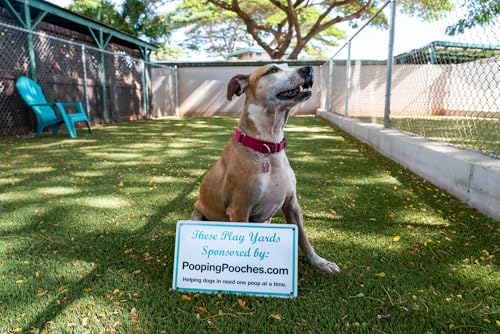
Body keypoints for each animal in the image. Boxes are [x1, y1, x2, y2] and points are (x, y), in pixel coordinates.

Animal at [191, 64, 340, 272]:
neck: (267, 147)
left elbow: (303, 238)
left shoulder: (292, 205)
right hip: (197, 214)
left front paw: (319, 262)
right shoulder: (240, 209)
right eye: (273, 69)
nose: (308, 69)